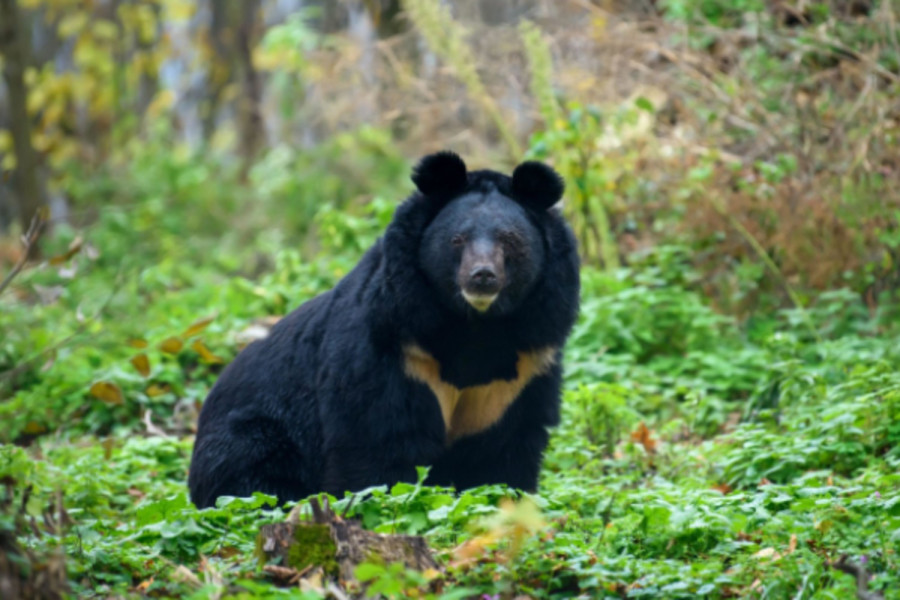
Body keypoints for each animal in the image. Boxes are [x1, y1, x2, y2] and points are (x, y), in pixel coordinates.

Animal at [191, 152, 584, 508]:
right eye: (457, 240)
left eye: (509, 240)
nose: (482, 276)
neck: (475, 325)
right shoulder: (393, 349)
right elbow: (377, 440)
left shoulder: (520, 372)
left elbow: (502, 451)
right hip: (254, 433)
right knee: (251, 479)